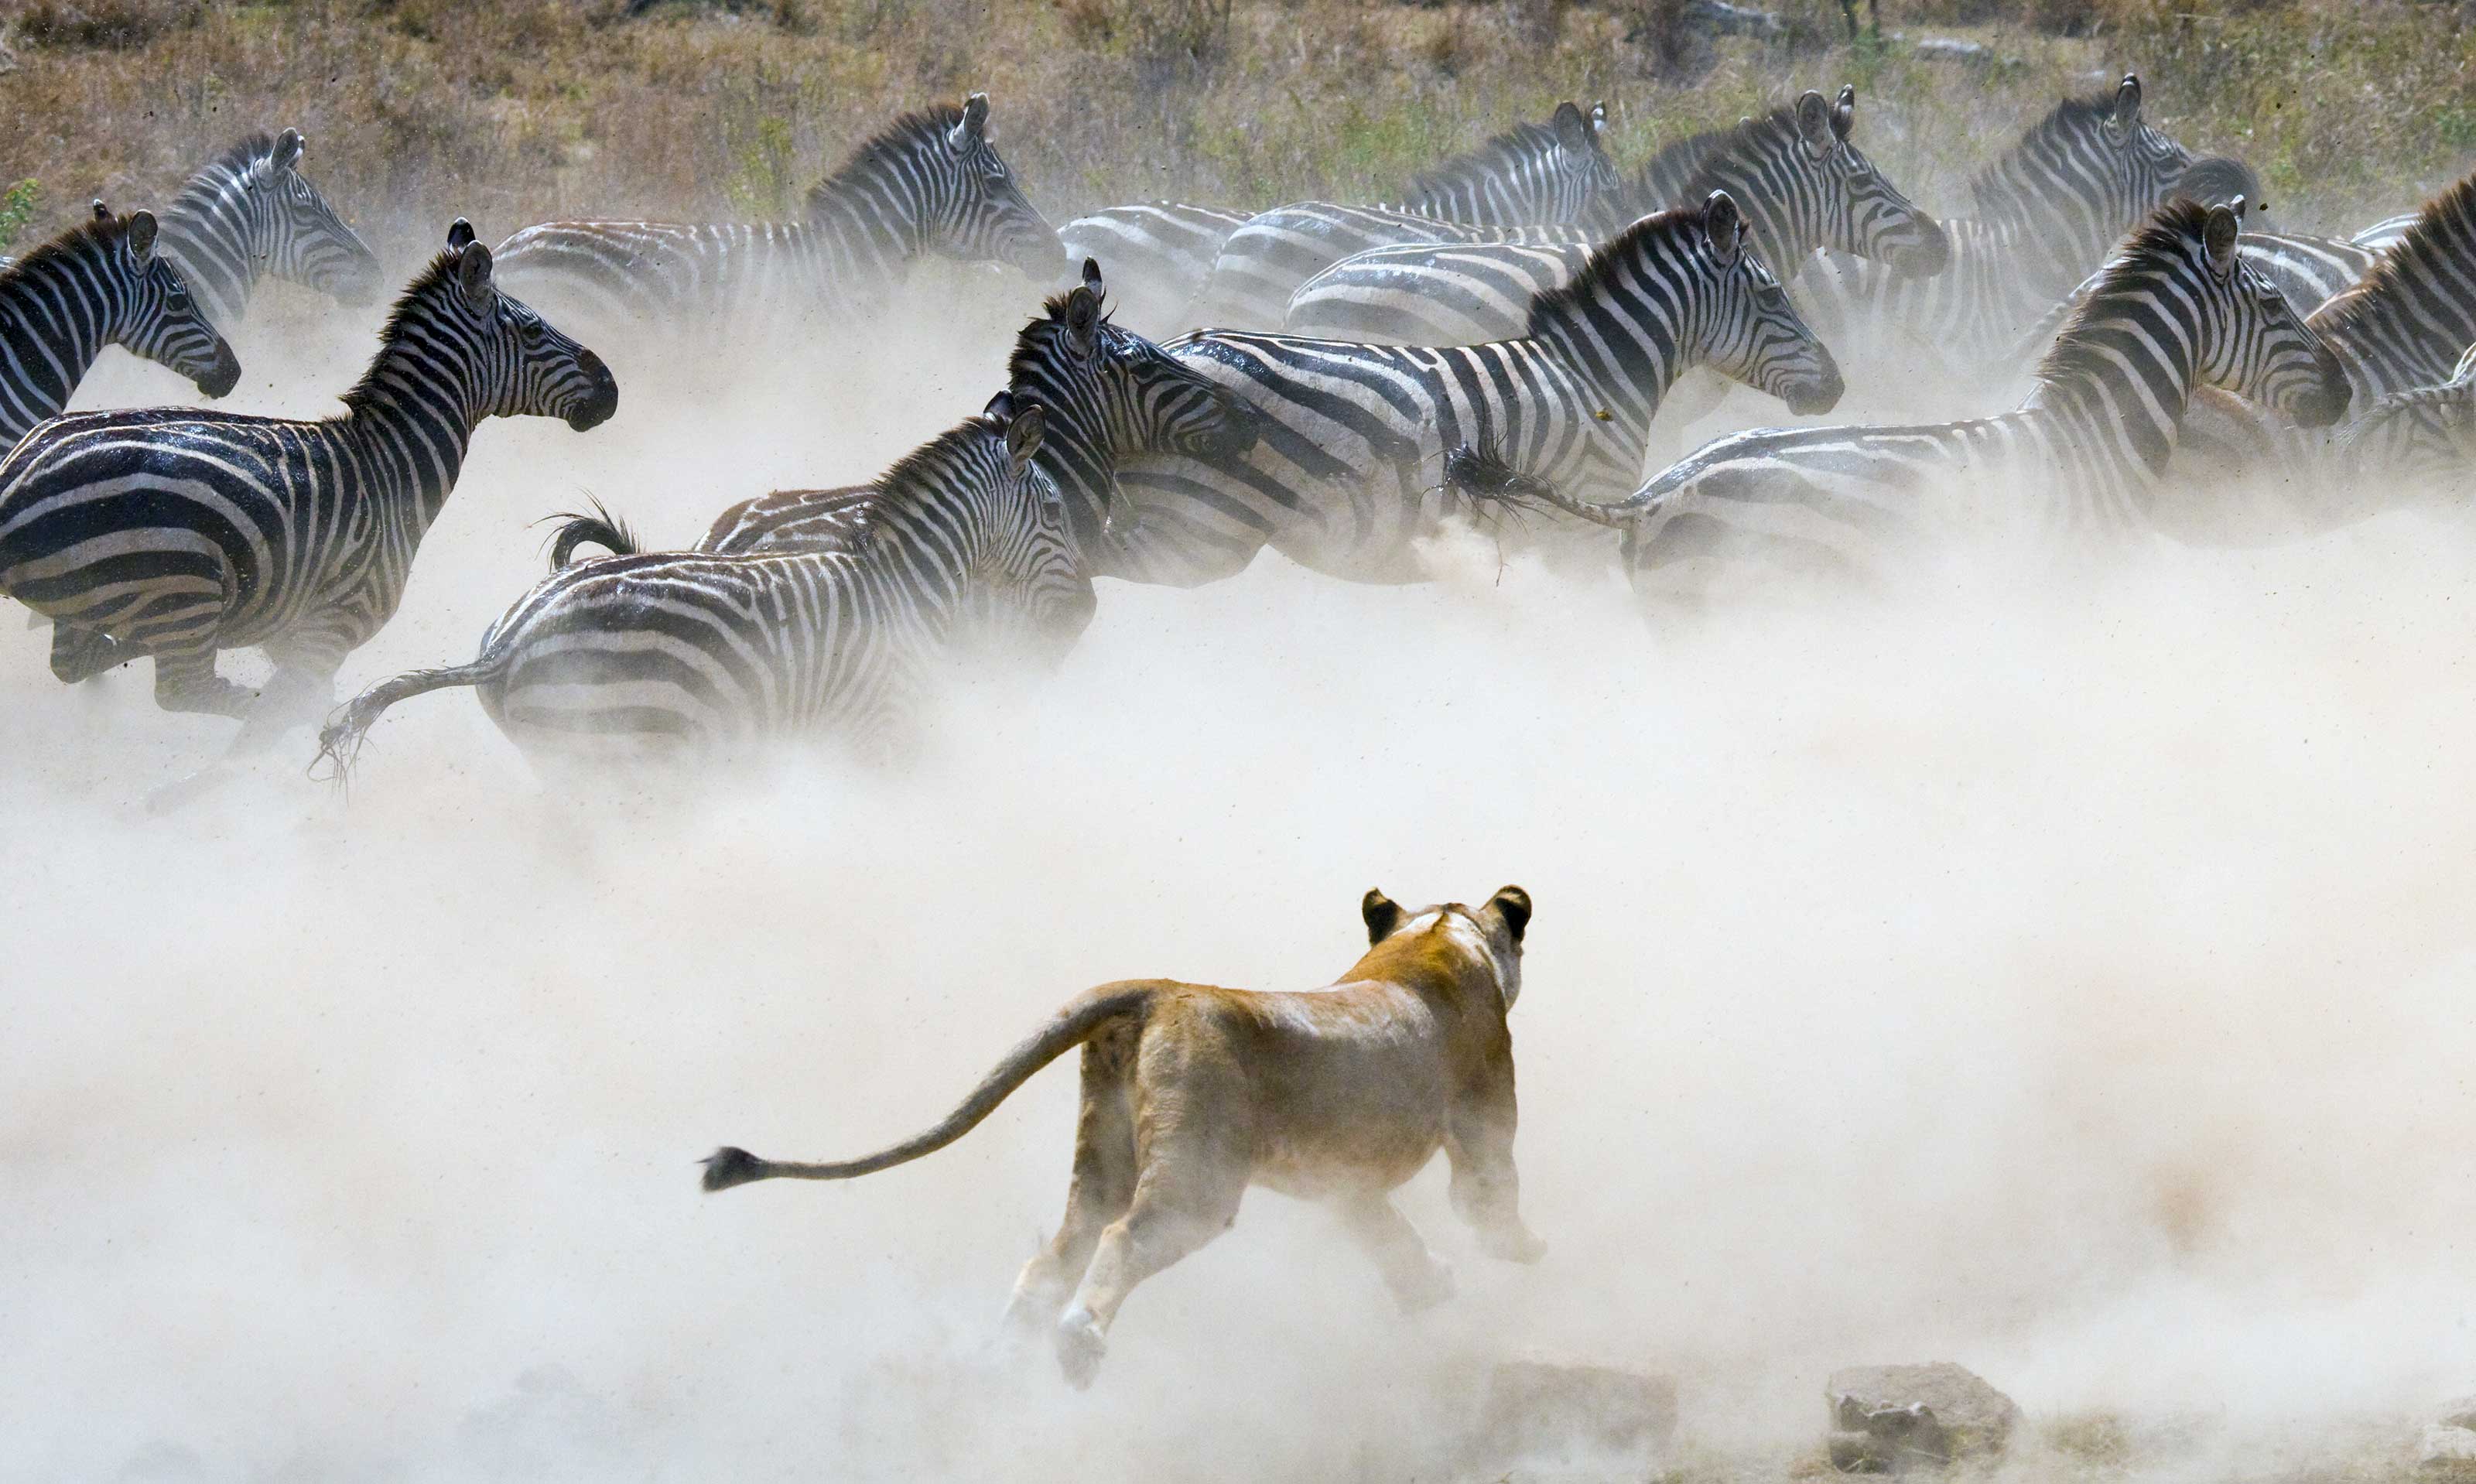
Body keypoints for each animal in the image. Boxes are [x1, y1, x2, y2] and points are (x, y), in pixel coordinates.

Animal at [701, 883, 1544, 1386]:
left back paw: (1006, 1359)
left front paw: (1428, 1289)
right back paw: (1077, 1349)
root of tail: (1158, 989)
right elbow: (1486, 1199)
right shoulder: (1481, 1119)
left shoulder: (1341, 1183)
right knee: (1122, 1239)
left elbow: (1386, 1235)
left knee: (1054, 1256)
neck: (1437, 938)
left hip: (1102, 1153)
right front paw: (1522, 1252)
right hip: (1197, 1181)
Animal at [1103, 190, 1843, 587]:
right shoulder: (1578, 527)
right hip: (1198, 526)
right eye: (1773, 295)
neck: (1595, 374)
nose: (1837, 387)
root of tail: (1169, 348)